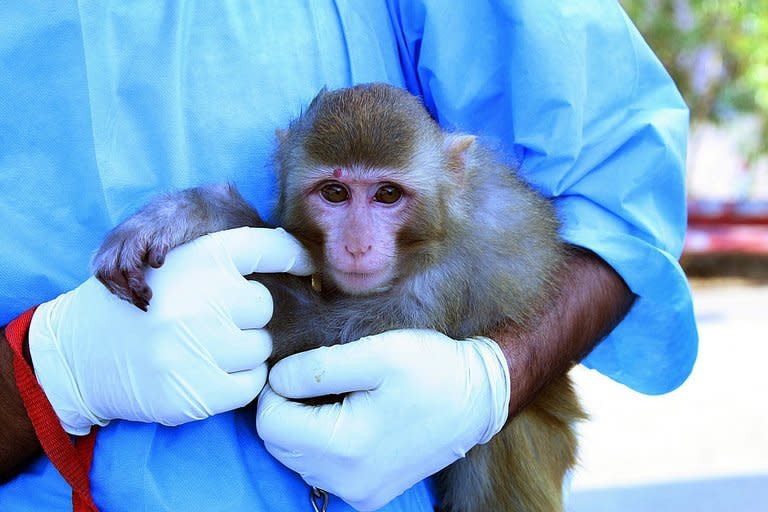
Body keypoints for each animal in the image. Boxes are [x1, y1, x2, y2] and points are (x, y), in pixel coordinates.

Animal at [91, 84, 584, 512]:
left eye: (388, 194)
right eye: (334, 192)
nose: (357, 245)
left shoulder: (446, 280)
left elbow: (319, 347)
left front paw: (208, 213)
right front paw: (186, 213)